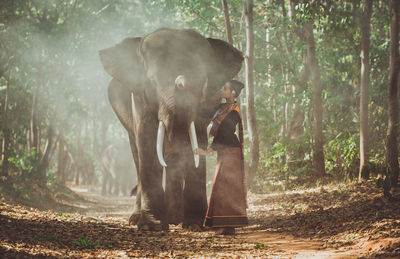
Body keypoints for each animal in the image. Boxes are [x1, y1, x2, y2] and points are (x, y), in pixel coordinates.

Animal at [100, 27, 244, 232]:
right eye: (151, 82)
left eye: (203, 82)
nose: (181, 80)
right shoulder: (139, 100)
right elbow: (147, 141)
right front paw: (151, 226)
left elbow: (198, 136)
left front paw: (195, 224)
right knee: (137, 155)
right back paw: (142, 219)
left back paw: (176, 219)